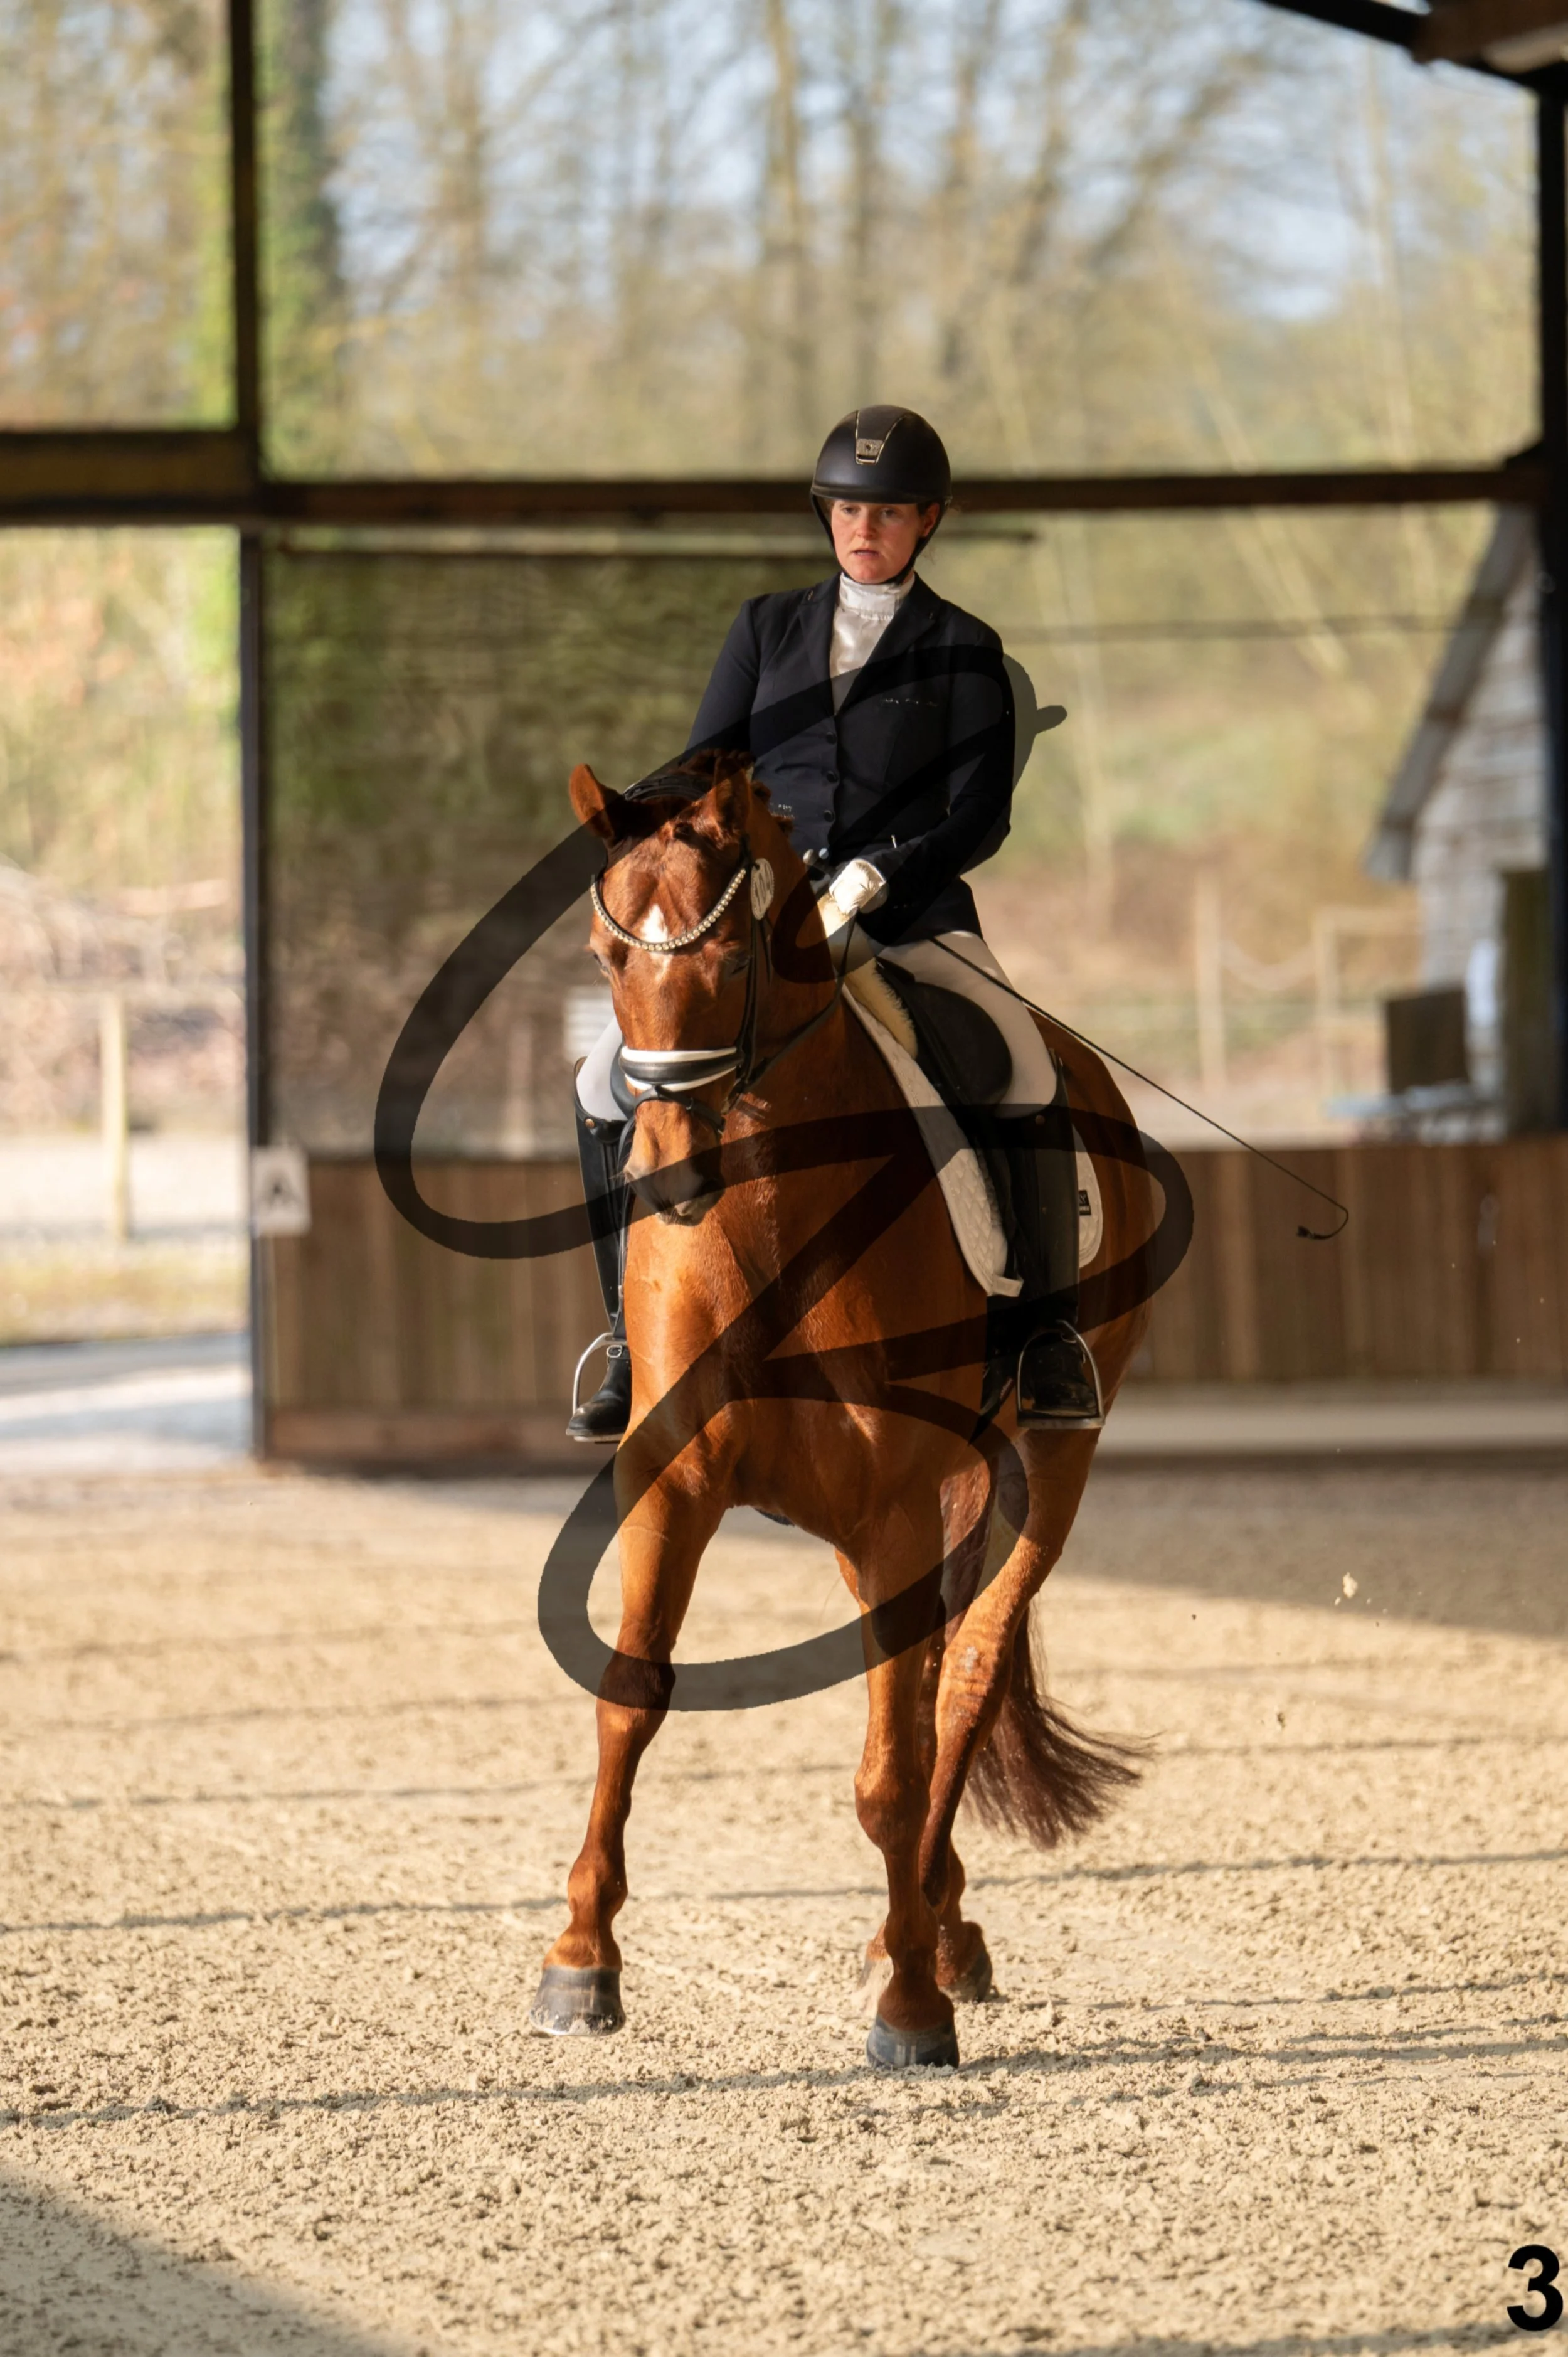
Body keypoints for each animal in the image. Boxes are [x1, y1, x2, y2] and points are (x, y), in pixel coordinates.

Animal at [530, 747, 1156, 2069]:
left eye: (728, 957)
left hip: (1050, 1465)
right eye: (607, 956)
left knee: (965, 1678)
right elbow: (630, 1697)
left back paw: (929, 1940)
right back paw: (937, 1922)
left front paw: (910, 2008)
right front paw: (580, 1963)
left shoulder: (892, 1509)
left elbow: (893, 1766)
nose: (667, 1169)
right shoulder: (676, 1479)